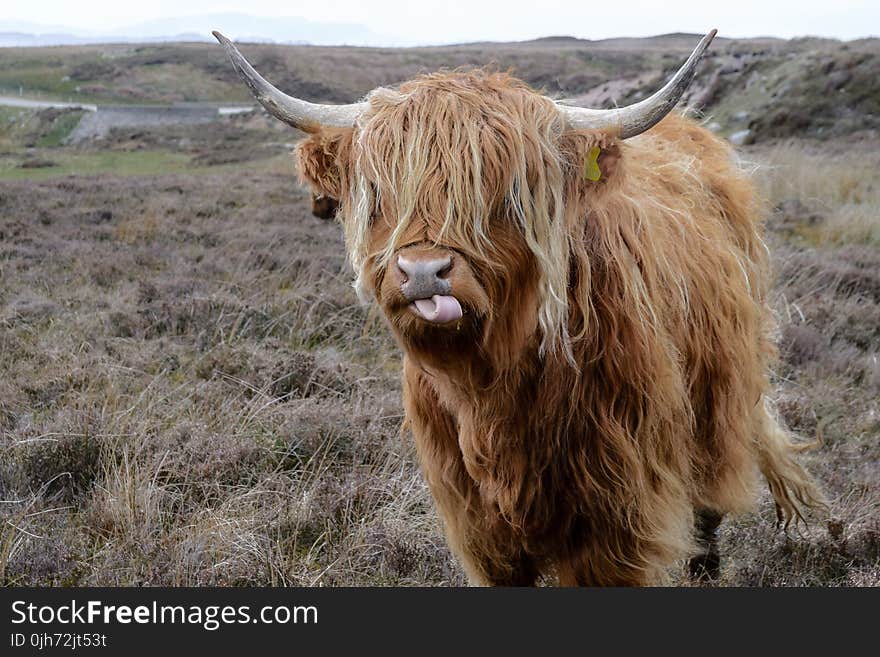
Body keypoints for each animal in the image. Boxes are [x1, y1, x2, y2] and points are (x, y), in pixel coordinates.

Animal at [213, 30, 824, 584]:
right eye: (380, 192)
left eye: (504, 193)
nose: (423, 273)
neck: (493, 388)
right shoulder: (476, 521)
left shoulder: (614, 515)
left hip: (720, 393)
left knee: (709, 501)